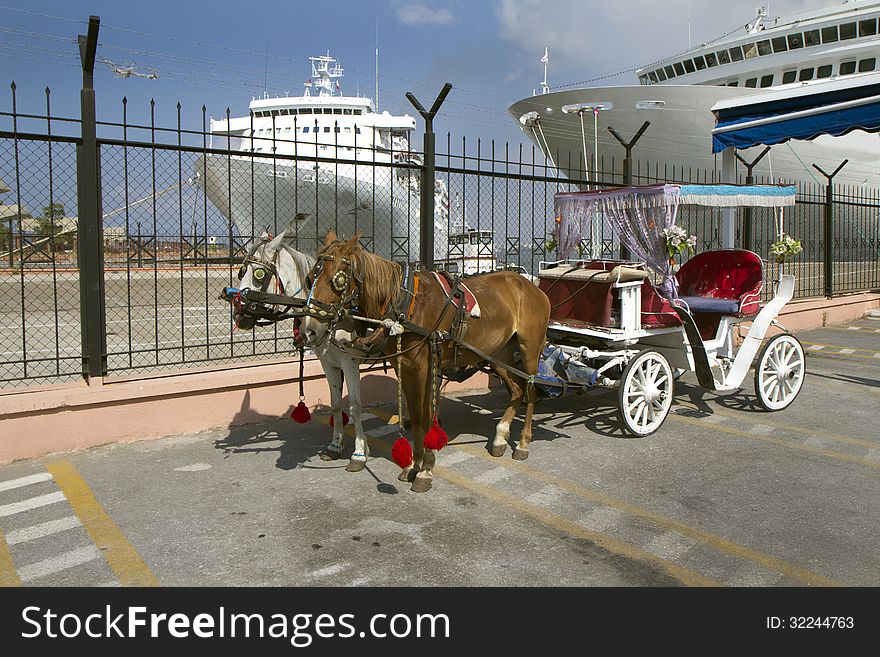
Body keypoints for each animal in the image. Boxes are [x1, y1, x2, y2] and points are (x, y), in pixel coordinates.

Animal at [232, 231, 370, 472]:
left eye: (259, 274)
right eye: (241, 271)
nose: (237, 314)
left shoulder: (349, 362)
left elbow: (355, 406)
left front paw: (359, 454)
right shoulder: (327, 361)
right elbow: (336, 404)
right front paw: (335, 446)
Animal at [302, 231, 552, 492]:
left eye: (337, 280)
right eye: (310, 279)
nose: (309, 330)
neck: (404, 302)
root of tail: (530, 285)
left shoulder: (422, 366)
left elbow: (423, 417)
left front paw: (425, 468)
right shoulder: (403, 366)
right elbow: (415, 416)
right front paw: (414, 464)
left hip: (530, 348)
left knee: (530, 391)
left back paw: (523, 443)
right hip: (498, 355)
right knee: (516, 390)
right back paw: (500, 437)